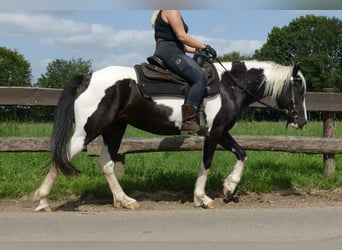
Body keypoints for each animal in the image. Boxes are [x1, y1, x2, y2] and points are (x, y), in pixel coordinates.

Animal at [33, 60, 308, 211]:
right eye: (298, 87)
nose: (302, 121)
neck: (229, 85)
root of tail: (88, 77)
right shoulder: (214, 132)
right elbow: (206, 163)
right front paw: (202, 198)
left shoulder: (222, 131)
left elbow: (242, 153)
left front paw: (229, 188)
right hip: (88, 130)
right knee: (62, 155)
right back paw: (42, 200)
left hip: (115, 128)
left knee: (107, 164)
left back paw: (125, 200)